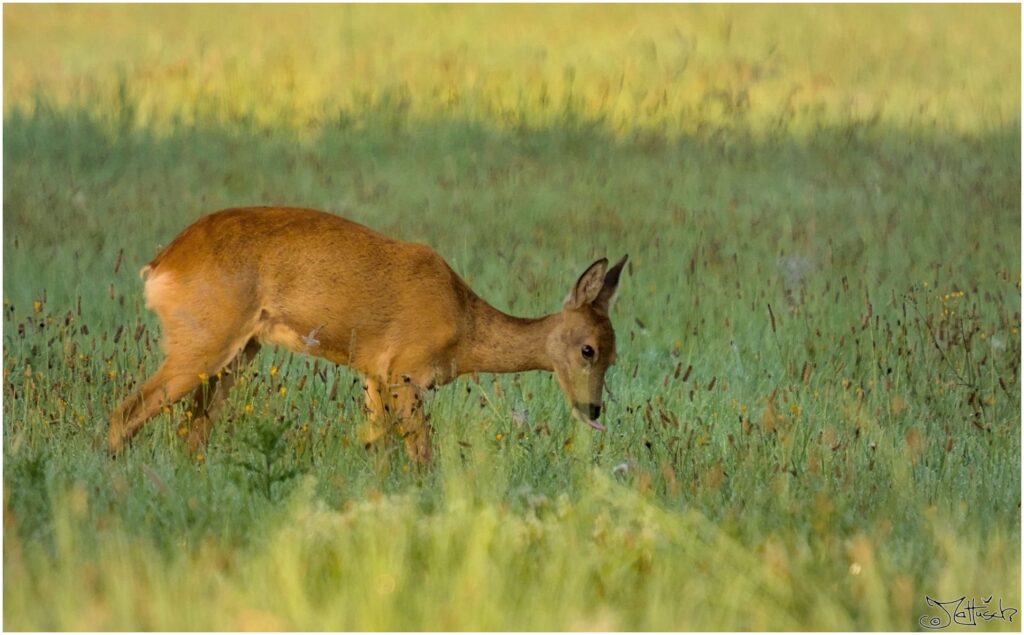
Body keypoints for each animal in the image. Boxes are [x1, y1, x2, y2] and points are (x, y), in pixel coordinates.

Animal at [108, 207, 626, 460]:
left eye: (613, 356)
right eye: (588, 349)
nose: (592, 410)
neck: (464, 324)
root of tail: (161, 265)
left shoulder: (374, 376)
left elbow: (376, 449)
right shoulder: (405, 375)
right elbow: (421, 453)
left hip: (236, 354)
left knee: (191, 429)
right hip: (202, 344)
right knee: (126, 412)